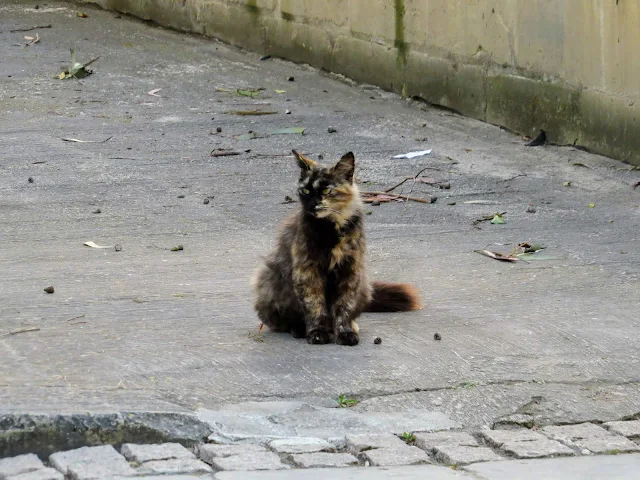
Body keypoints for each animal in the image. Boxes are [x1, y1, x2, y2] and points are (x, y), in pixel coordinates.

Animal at [252, 150, 422, 344]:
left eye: (326, 190)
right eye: (305, 191)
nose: (312, 204)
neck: (332, 228)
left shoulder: (350, 269)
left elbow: (343, 307)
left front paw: (345, 332)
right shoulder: (307, 271)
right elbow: (314, 305)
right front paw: (317, 332)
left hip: (363, 285)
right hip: (271, 280)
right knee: (281, 321)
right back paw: (299, 329)